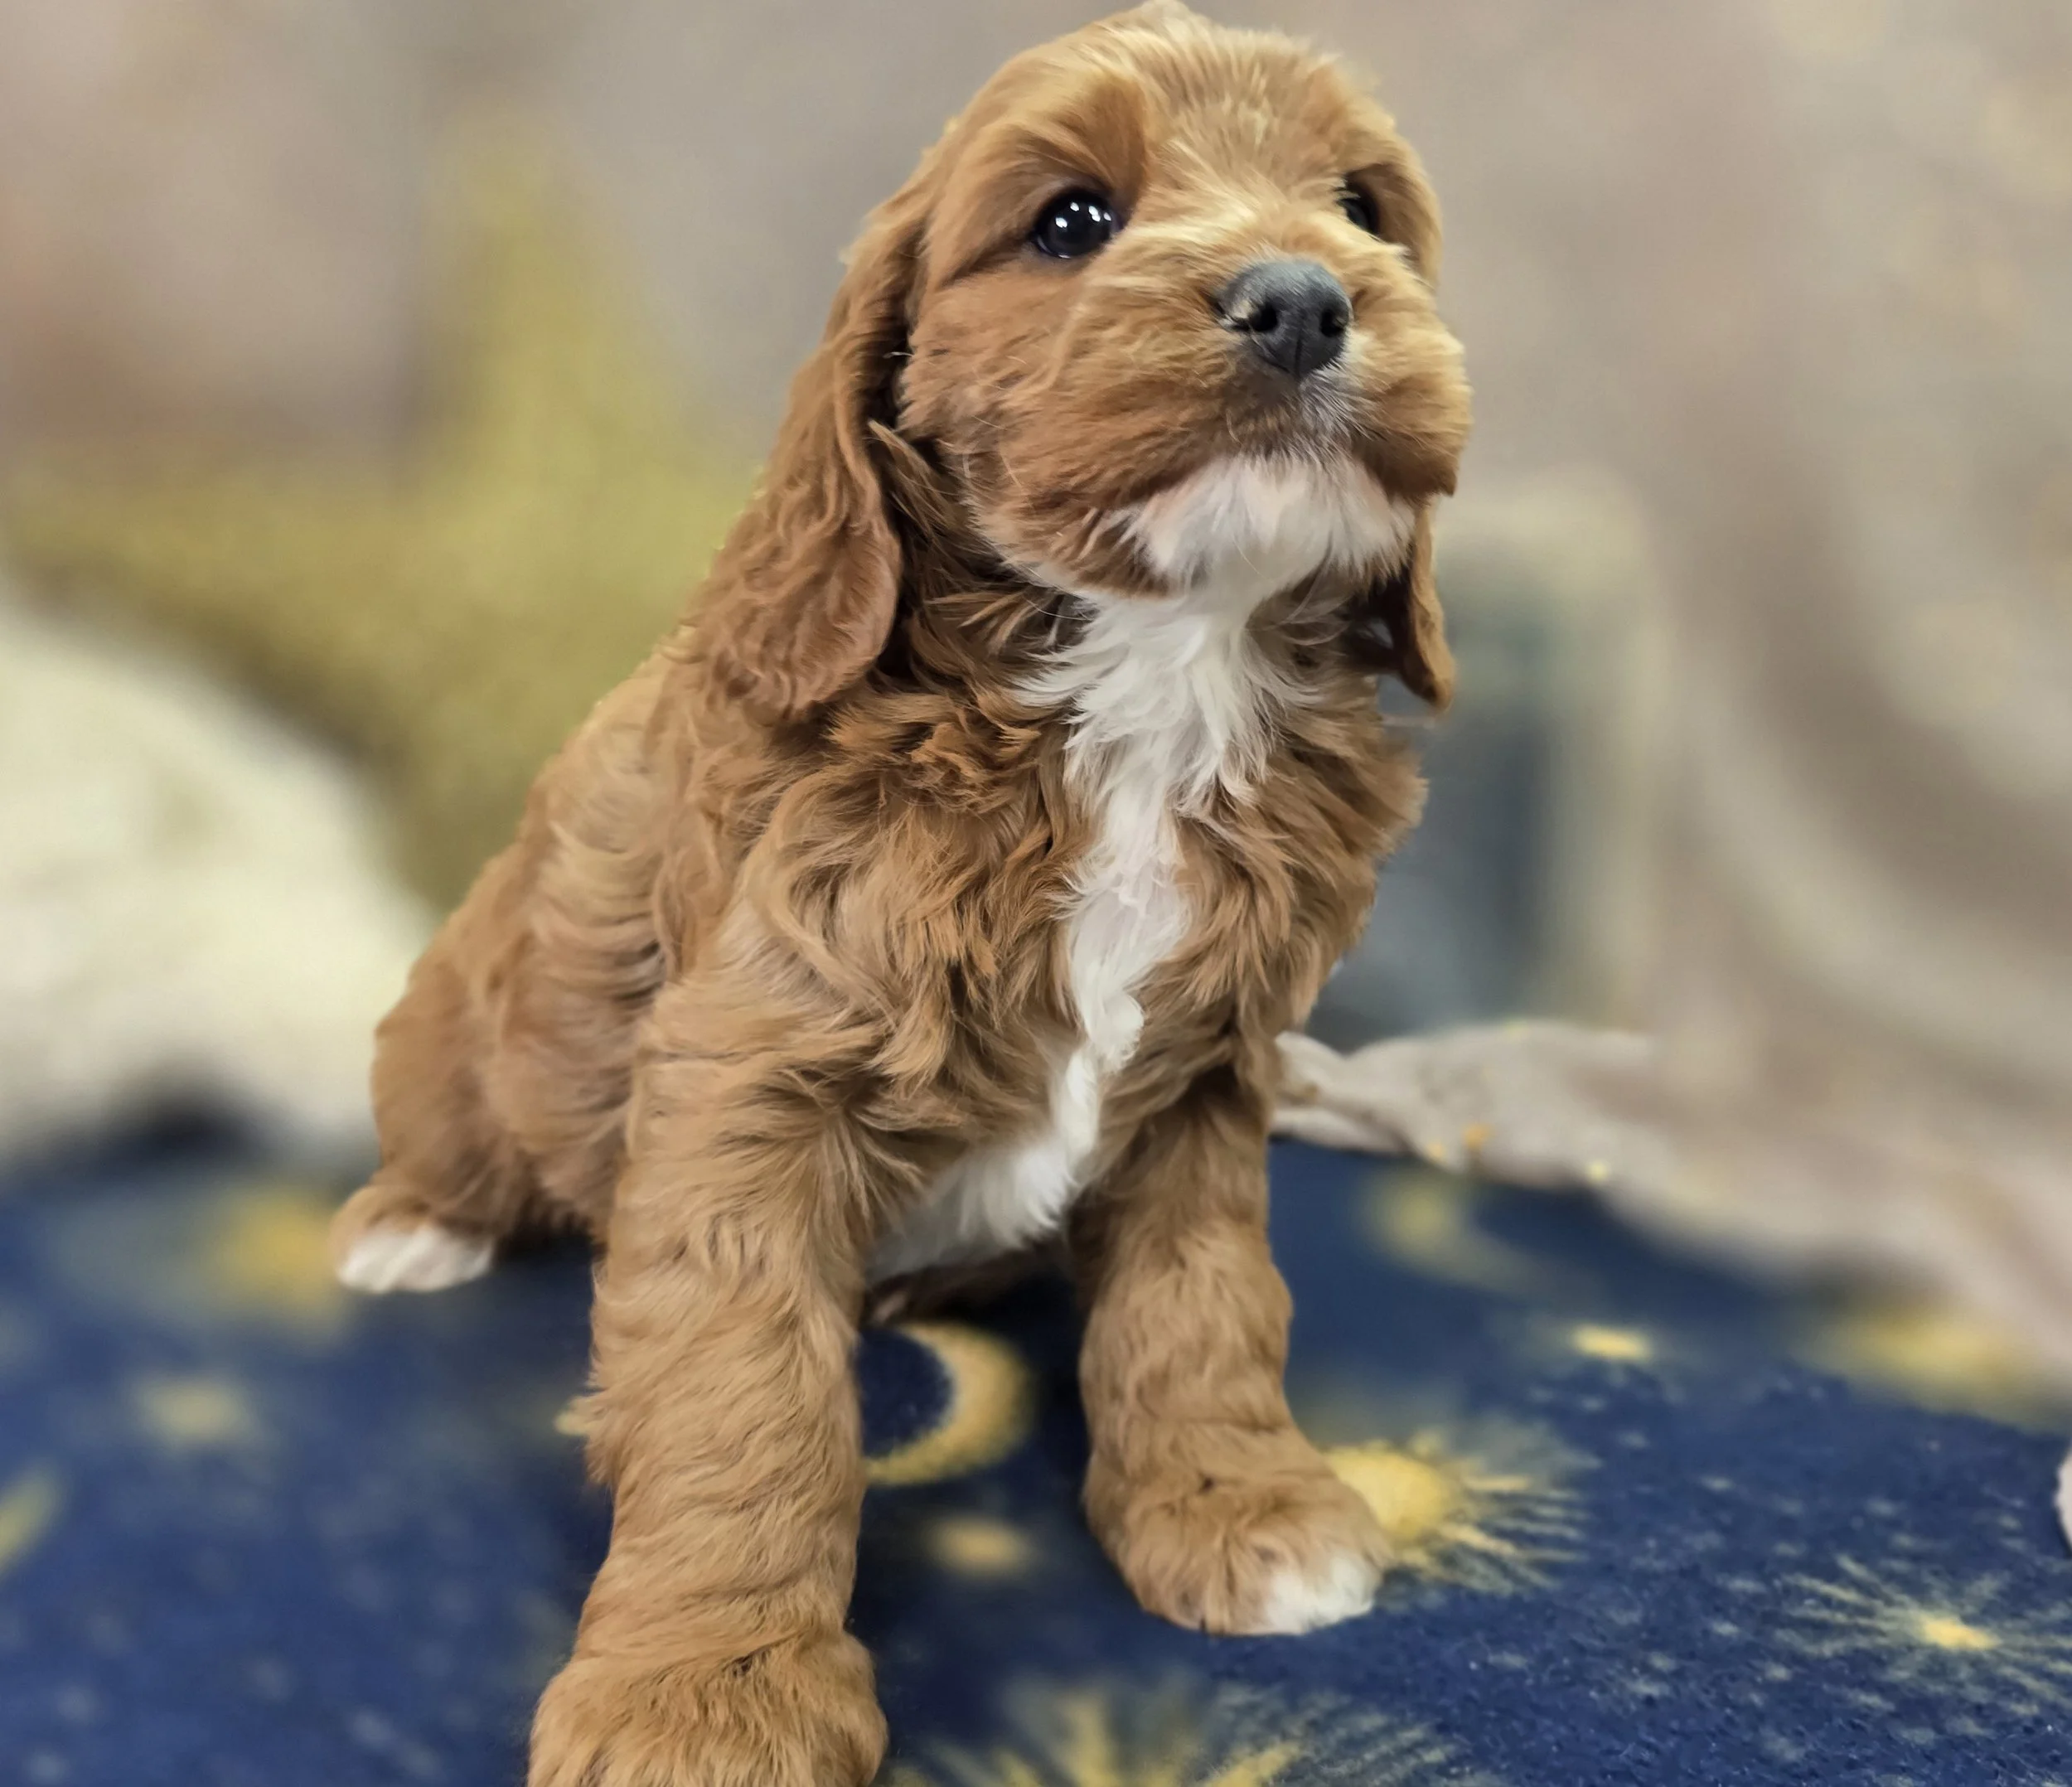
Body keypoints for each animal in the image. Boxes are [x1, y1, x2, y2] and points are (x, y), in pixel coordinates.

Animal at [329, 5, 1471, 1781]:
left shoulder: (1209, 1080)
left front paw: (1239, 1505)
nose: (1304, 297)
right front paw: (706, 1696)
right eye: (1072, 219)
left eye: (1361, 207)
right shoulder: (745, 1086)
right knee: (451, 1139)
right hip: (463, 1046)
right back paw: (407, 1229)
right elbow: (745, 1400)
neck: (1146, 682)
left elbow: (1205, 1302)